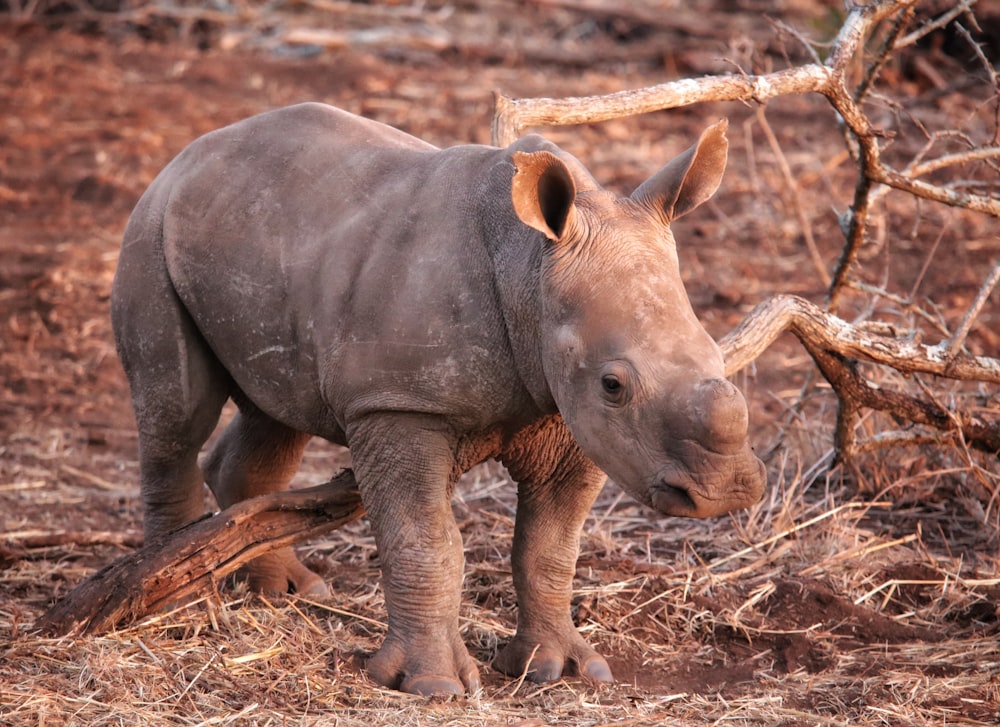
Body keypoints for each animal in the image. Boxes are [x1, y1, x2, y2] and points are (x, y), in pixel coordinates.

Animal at [109, 104, 764, 700]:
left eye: (715, 349)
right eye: (614, 384)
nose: (725, 491)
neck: (529, 271)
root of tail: (190, 153)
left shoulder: (565, 411)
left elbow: (550, 547)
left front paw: (562, 670)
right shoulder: (399, 404)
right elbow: (425, 540)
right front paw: (433, 686)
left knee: (275, 414)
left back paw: (288, 592)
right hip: (149, 227)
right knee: (177, 415)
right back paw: (174, 607)